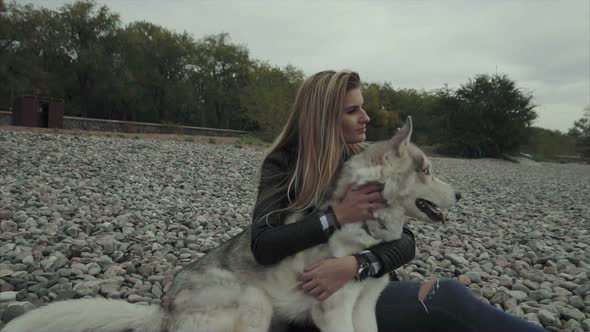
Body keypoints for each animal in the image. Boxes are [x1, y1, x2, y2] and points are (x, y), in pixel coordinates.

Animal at [2, 116, 460, 332]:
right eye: (428, 170)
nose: (458, 195)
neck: (365, 229)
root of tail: (162, 310)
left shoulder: (364, 306)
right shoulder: (333, 310)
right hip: (254, 302)